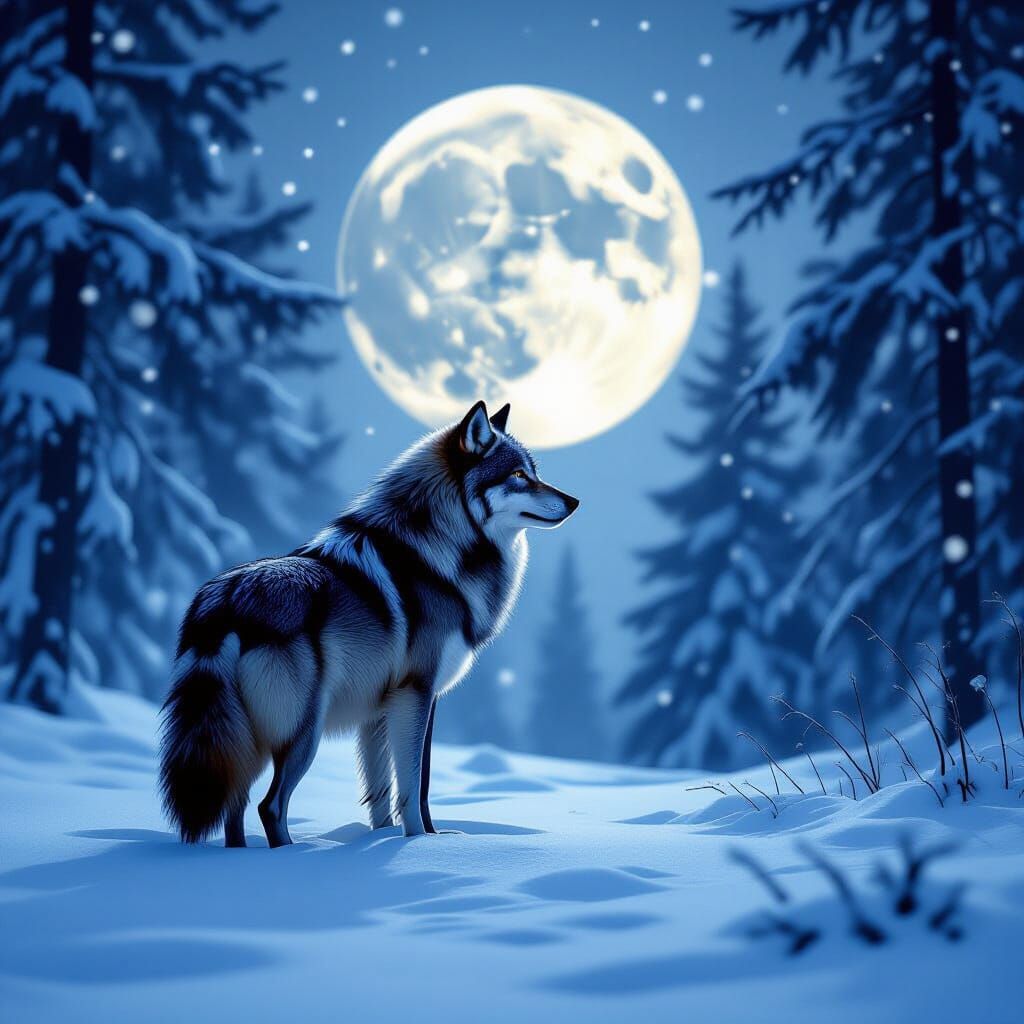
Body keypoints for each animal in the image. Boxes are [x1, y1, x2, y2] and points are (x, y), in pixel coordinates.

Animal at [159, 400, 578, 847]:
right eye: (518, 476)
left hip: (244, 742)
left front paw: (385, 839)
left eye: (534, 472)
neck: (442, 550)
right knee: (269, 806)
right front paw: (420, 842)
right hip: (303, 733)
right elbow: (416, 786)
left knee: (234, 809)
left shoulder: (379, 710)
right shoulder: (418, 693)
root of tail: (225, 601)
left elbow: (383, 792)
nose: (573, 501)